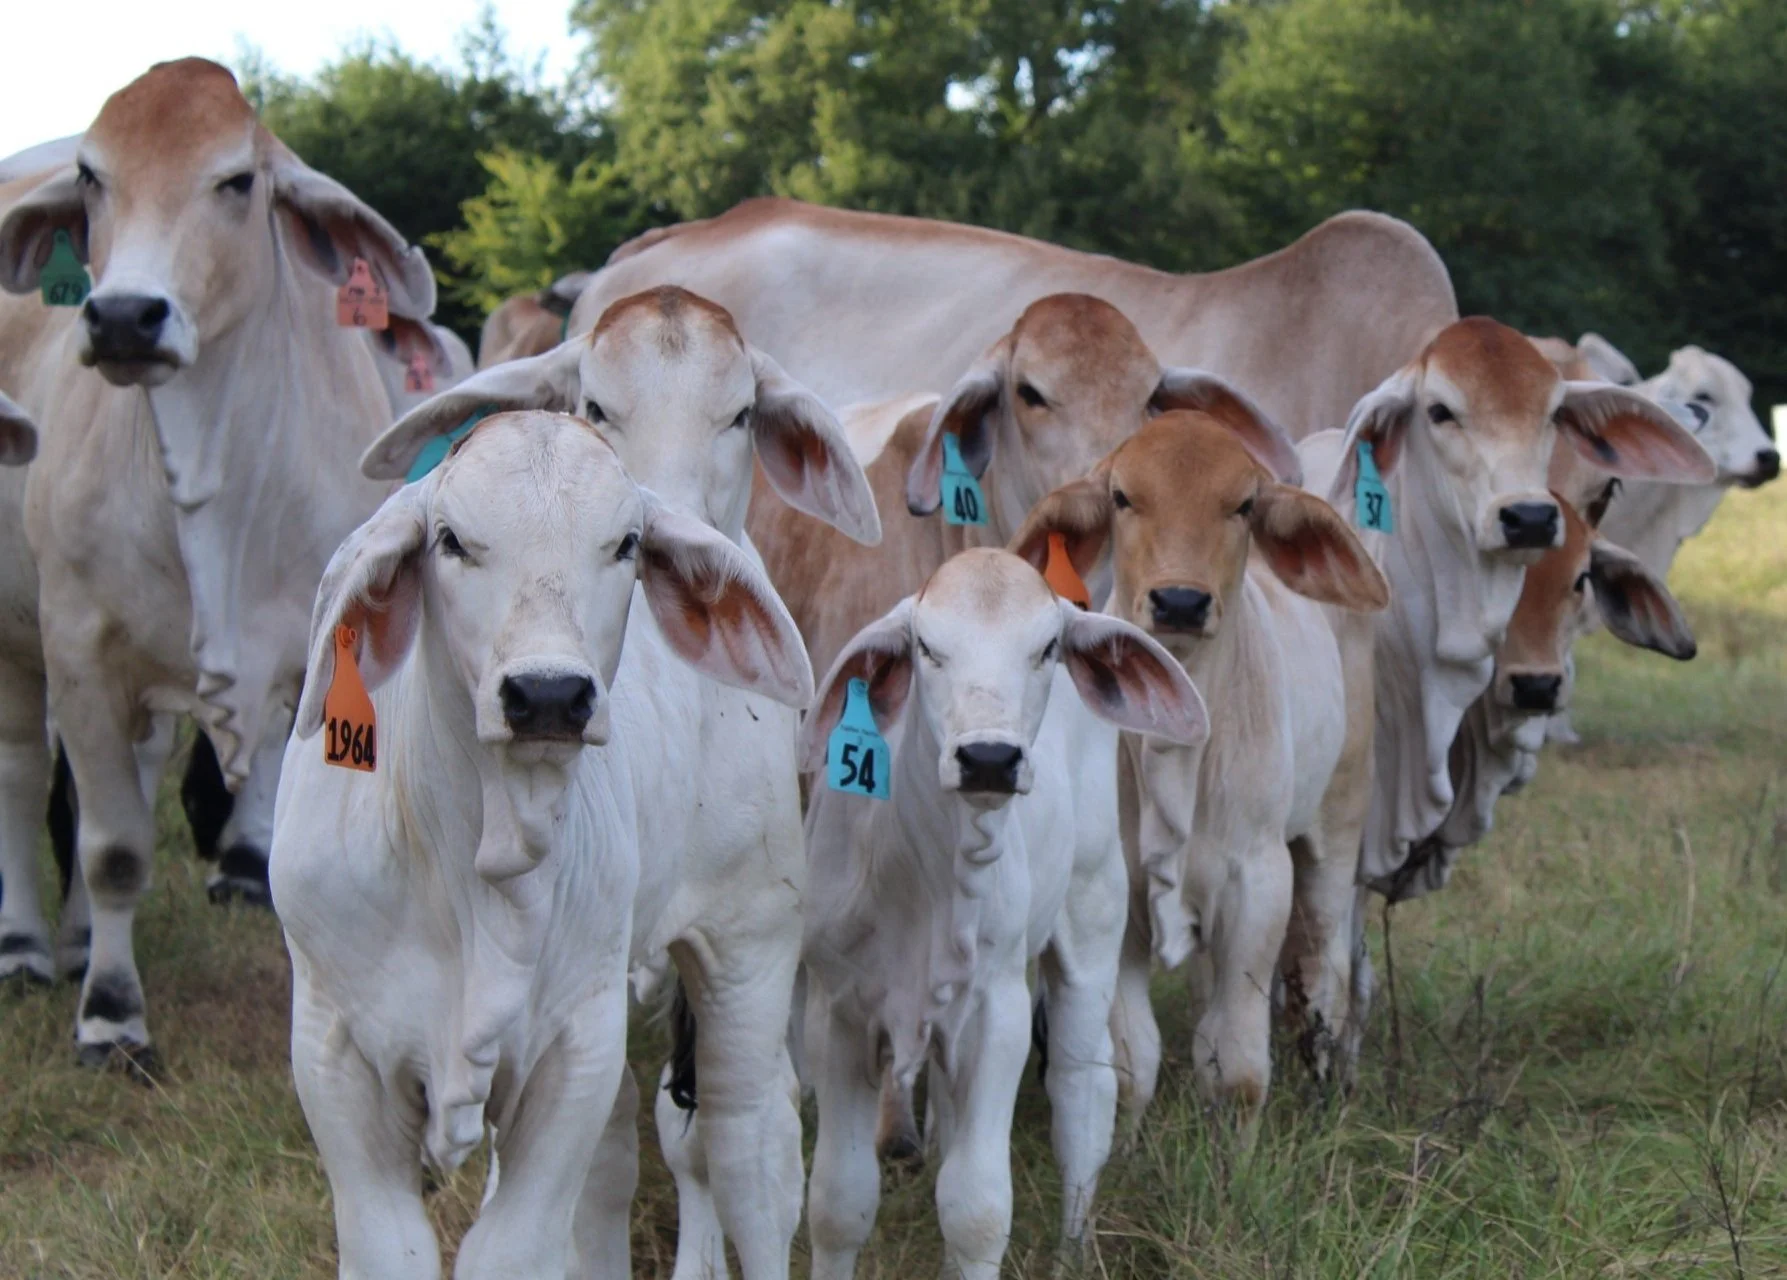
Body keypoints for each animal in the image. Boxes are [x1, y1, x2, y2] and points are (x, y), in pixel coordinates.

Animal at [0, 59, 435, 1064]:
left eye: (236, 181)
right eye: (91, 177)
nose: (124, 317)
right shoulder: (79, 649)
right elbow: (114, 849)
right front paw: (110, 1014)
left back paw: (73, 938)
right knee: (21, 776)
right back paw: (29, 947)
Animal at [272, 408, 813, 1279]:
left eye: (625, 543)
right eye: (451, 540)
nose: (549, 694)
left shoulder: (575, 1055)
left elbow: (512, 1250)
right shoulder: (336, 1056)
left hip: (749, 945)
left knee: (748, 1148)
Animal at [797, 548, 1206, 1279]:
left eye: (1045, 649)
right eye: (926, 647)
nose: (988, 758)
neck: (922, 873)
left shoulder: (998, 1013)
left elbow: (977, 1211)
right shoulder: (835, 1013)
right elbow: (838, 1204)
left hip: (1090, 927)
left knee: (1083, 1090)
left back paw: (1070, 1254)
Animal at [1012, 409, 1389, 1116]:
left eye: (1243, 505)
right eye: (1122, 497)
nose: (1181, 602)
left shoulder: (1257, 884)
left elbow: (1237, 1068)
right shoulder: (1121, 899)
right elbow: (1132, 1064)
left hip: (1338, 823)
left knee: (1327, 967)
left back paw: (1329, 1086)